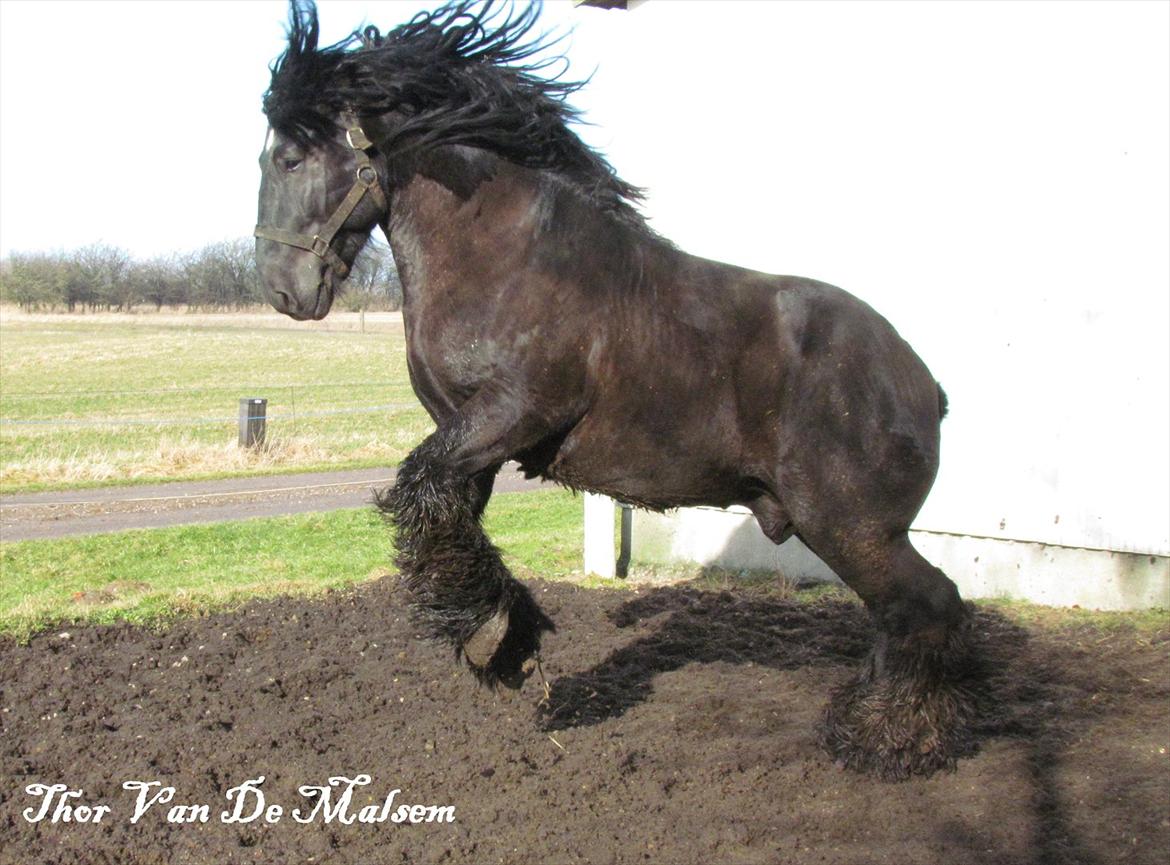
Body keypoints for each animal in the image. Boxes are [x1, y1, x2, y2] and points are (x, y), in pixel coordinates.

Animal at [253, 0, 978, 781]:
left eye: (289, 158)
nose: (282, 289)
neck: (508, 256)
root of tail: (922, 381)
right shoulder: (469, 437)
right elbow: (445, 512)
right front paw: (503, 636)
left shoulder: (513, 413)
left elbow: (423, 484)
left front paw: (494, 638)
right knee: (903, 616)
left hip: (851, 526)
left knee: (928, 605)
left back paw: (888, 738)